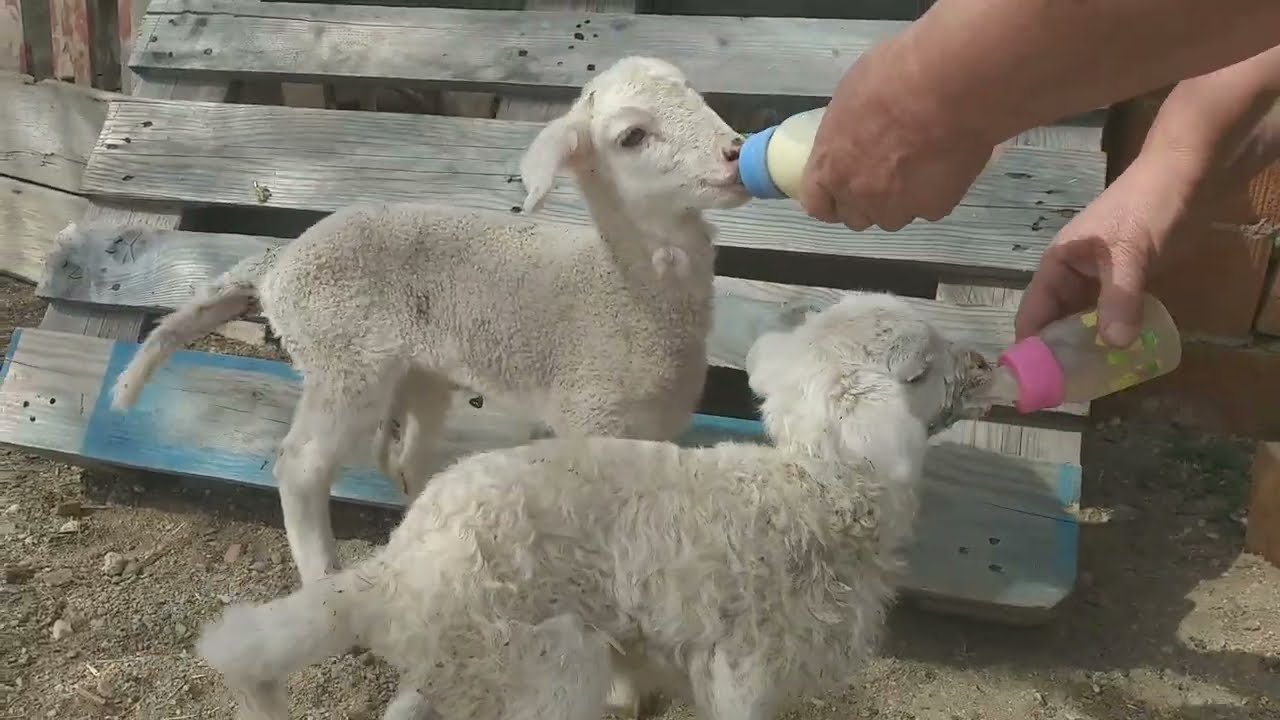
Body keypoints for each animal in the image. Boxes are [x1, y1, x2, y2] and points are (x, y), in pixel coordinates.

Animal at [106, 56, 750, 585]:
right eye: (632, 137)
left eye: (693, 93)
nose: (737, 151)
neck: (623, 293)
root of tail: (279, 261)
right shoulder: (588, 418)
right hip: (344, 355)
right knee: (301, 465)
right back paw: (322, 575)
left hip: (417, 372)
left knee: (402, 459)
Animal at [195, 292, 995, 720]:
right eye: (923, 371)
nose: (987, 363)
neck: (814, 487)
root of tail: (401, 565)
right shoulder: (745, 668)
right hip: (544, 661)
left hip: (466, 652)